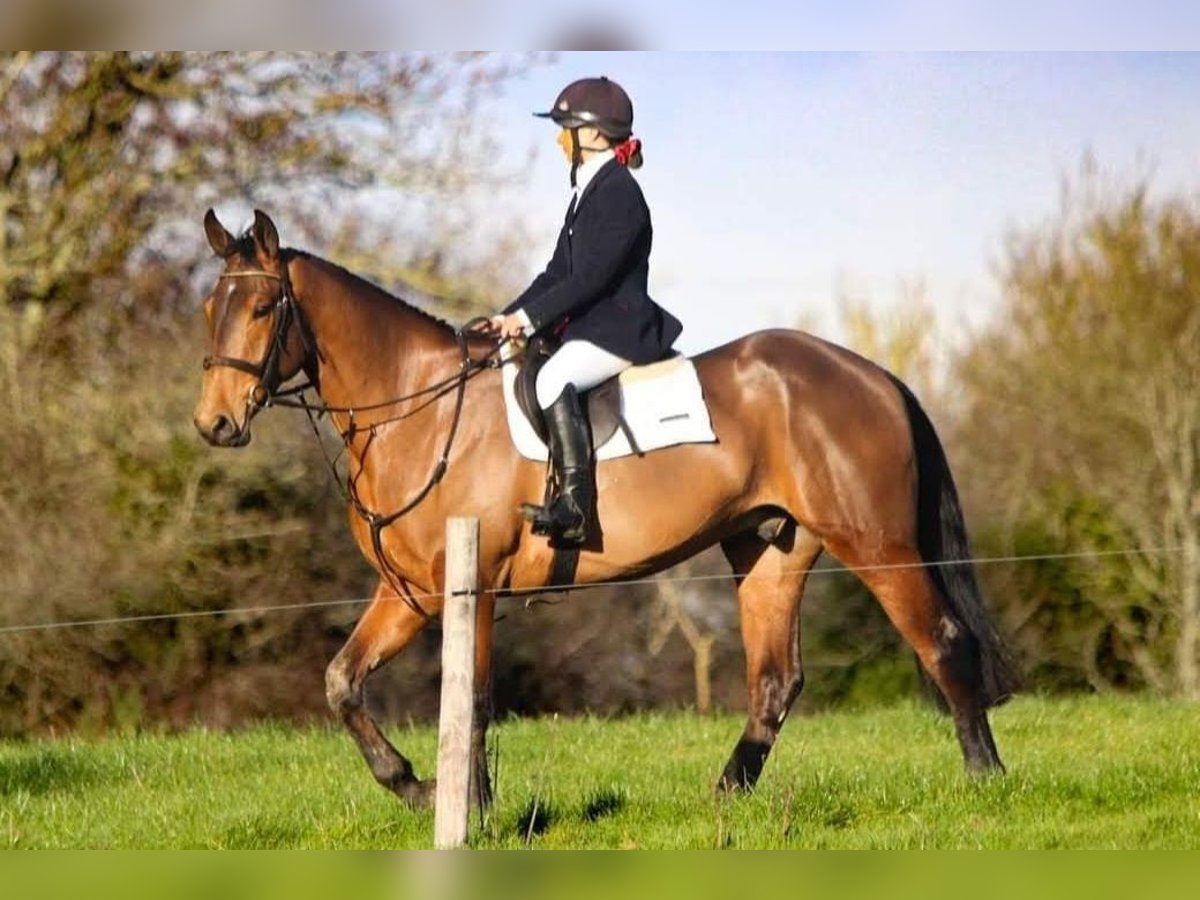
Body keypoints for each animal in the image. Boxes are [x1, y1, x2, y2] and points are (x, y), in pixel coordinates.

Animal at [192, 210, 1017, 811]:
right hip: (771, 551)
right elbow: (343, 681)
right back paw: (725, 795)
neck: (416, 411)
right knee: (776, 681)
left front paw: (474, 809)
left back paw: (986, 779)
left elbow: (475, 700)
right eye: (210, 308)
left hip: (875, 542)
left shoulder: (474, 587)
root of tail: (873, 374)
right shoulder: (412, 594)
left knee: (942, 640)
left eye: (262, 307)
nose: (215, 425)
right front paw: (415, 787)